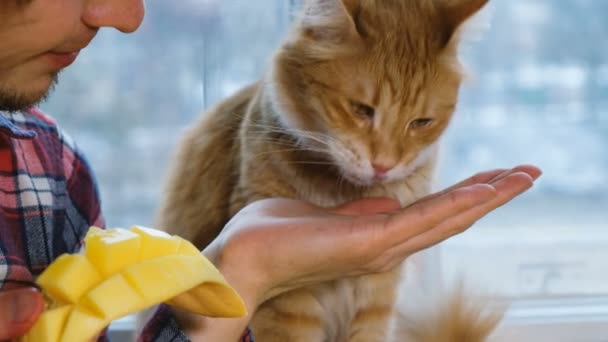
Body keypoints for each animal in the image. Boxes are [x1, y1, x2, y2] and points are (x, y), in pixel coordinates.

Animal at [159, 1, 502, 340]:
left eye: (421, 123)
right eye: (361, 109)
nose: (383, 165)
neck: (341, 191)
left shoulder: (376, 301)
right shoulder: (288, 310)